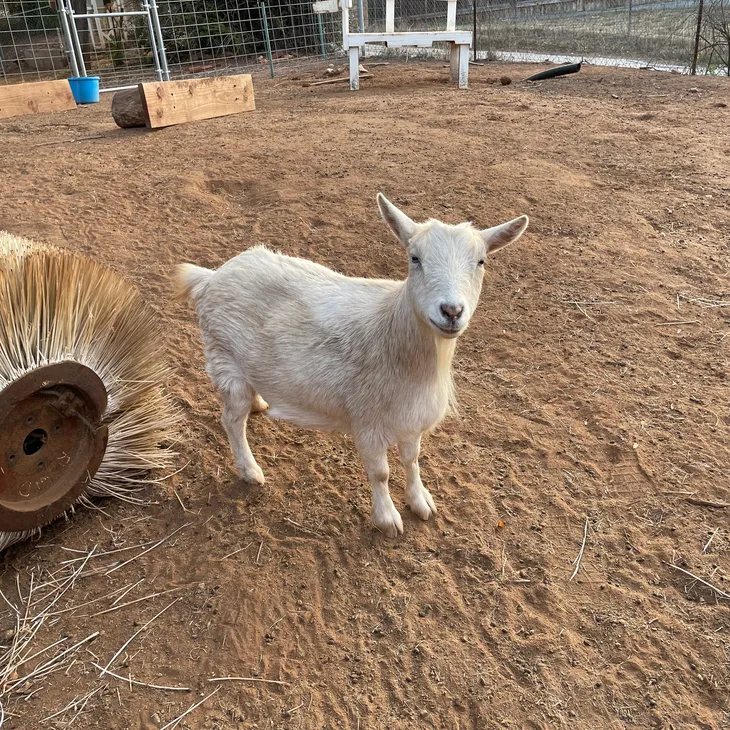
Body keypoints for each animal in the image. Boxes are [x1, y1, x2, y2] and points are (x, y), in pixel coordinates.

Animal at [177, 194, 528, 537]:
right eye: (415, 258)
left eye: (481, 261)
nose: (452, 311)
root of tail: (211, 277)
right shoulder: (367, 419)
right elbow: (381, 472)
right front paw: (387, 518)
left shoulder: (411, 417)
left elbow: (412, 460)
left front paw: (420, 501)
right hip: (225, 360)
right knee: (231, 420)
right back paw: (250, 470)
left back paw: (260, 402)